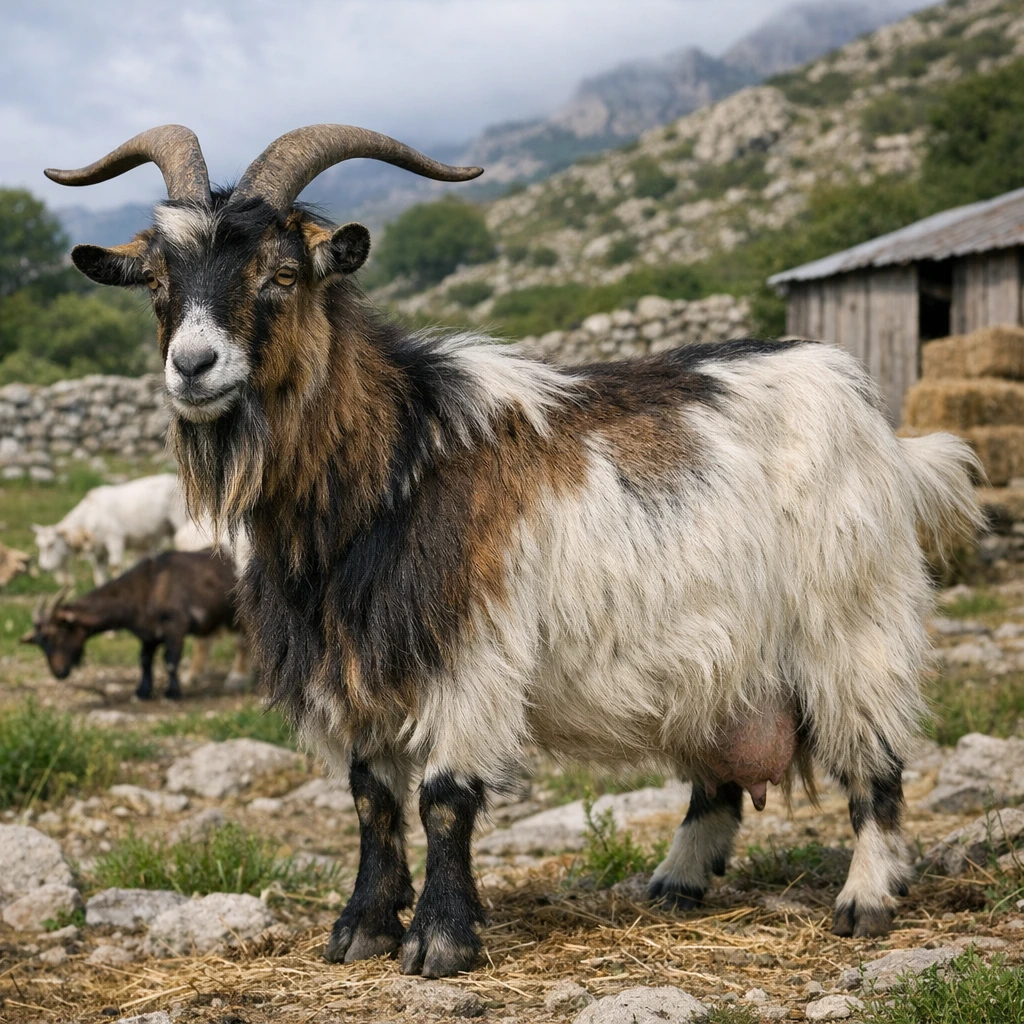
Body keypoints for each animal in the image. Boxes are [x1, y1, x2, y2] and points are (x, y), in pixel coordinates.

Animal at [22, 550, 244, 700]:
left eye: (58, 634)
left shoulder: (175, 626)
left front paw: (172, 693)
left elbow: (170, 661)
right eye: (41, 644)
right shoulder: (149, 634)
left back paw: (239, 681)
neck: (146, 587)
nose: (58, 672)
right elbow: (144, 660)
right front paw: (142, 692)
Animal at [33, 473, 189, 586]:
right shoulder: (97, 552)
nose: (43, 568)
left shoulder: (115, 539)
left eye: (51, 544)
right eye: (39, 545)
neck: (89, 516)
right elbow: (99, 575)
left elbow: (115, 566)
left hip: (180, 521)